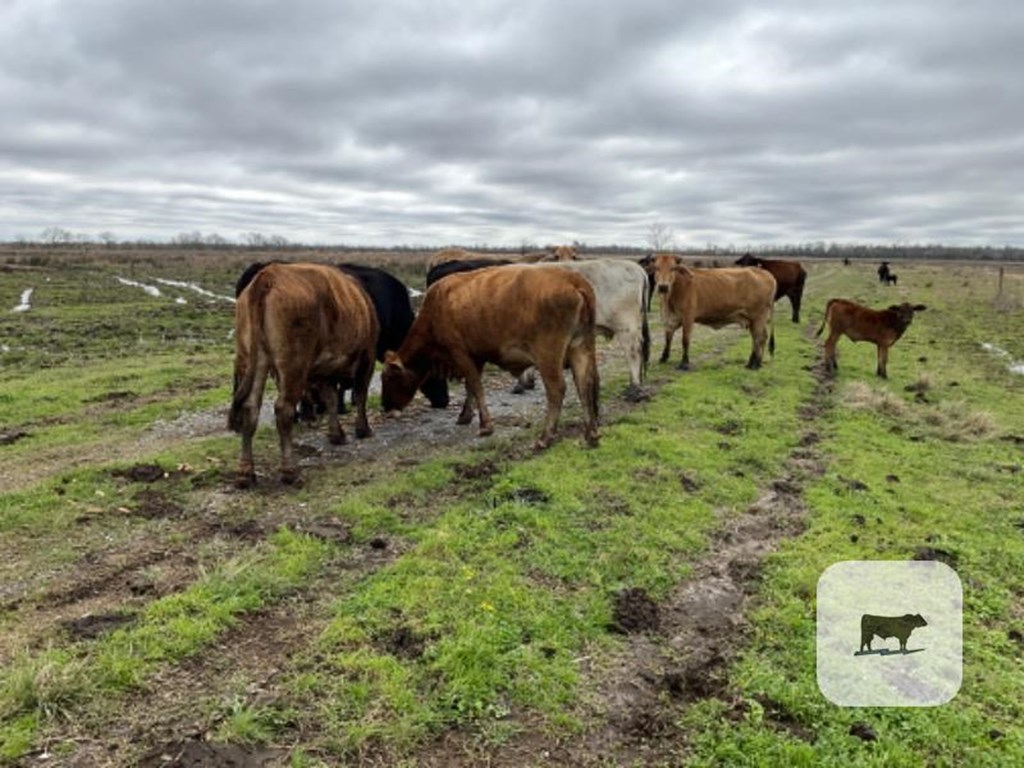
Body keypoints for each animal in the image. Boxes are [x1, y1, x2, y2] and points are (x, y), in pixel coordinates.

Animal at [228, 264, 380, 487]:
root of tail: (268, 275)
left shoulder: (326, 370)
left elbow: (331, 398)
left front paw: (336, 434)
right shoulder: (367, 356)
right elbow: (360, 395)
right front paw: (363, 429)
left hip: (254, 360)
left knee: (250, 408)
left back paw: (245, 472)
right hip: (294, 365)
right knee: (283, 410)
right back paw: (289, 471)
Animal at [382, 268, 598, 454]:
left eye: (390, 378)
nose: (385, 406)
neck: (438, 306)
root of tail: (572, 279)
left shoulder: (460, 353)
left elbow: (476, 386)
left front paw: (485, 425)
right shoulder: (476, 357)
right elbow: (470, 387)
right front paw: (465, 415)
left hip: (548, 356)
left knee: (557, 390)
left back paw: (545, 438)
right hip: (581, 348)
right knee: (584, 384)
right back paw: (591, 435)